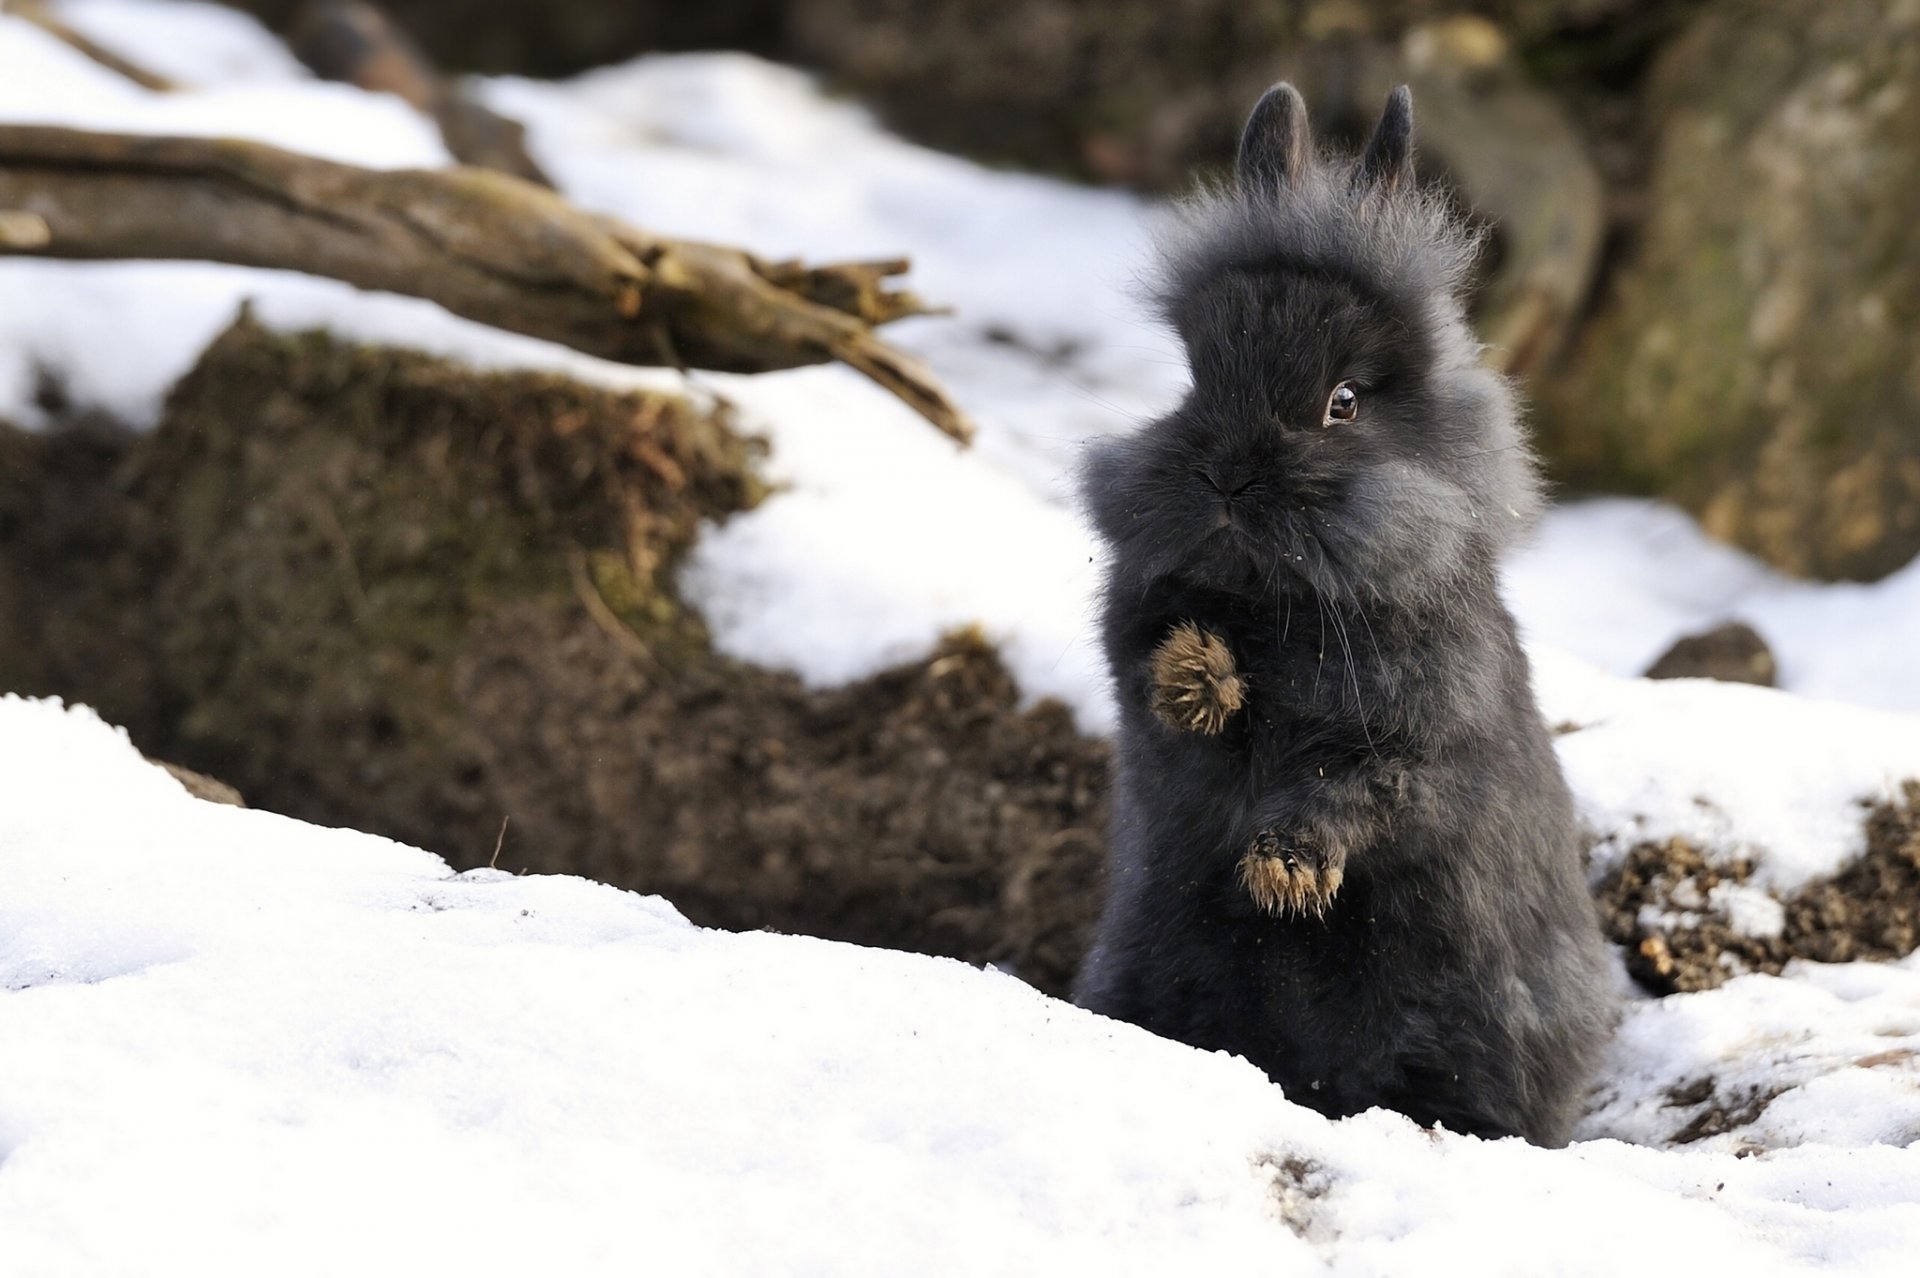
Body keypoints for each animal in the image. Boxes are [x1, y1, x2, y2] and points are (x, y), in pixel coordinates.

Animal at [1071, 83, 1614, 1147]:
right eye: (1197, 380)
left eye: (1345, 403)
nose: (1228, 478)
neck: (1276, 604)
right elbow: (1162, 681)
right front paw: (1200, 675)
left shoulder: (1416, 746)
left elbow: (1353, 792)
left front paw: (1284, 873)